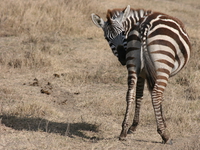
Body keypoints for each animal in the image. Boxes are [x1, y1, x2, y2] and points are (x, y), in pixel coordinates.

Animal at [90, 4, 191, 143]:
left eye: (123, 32)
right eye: (107, 38)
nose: (123, 57)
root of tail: (145, 24)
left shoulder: (142, 73)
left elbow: (138, 95)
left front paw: (133, 126)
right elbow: (157, 97)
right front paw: (163, 123)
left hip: (133, 64)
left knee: (130, 93)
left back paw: (123, 131)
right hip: (163, 64)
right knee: (156, 94)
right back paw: (164, 135)